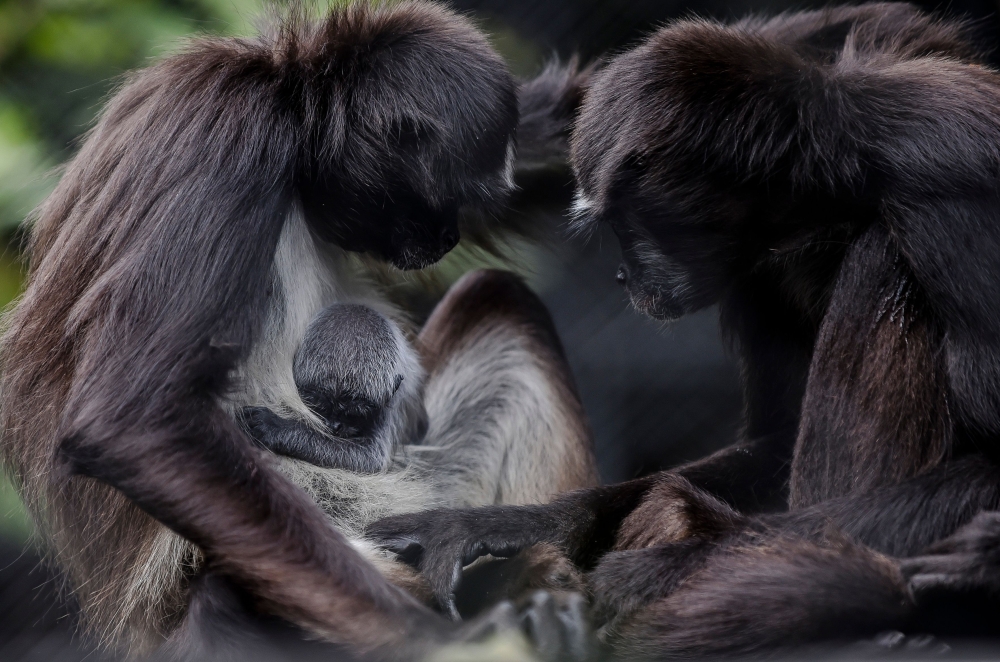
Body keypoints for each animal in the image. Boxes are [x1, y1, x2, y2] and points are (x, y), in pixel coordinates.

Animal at [241, 303, 428, 473]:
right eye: (321, 407)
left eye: (354, 414)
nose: (335, 426)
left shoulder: (390, 406)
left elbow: (370, 458)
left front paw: (278, 429)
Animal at [369, 3, 1000, 657]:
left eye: (625, 223)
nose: (622, 273)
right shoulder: (758, 266)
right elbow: (776, 439)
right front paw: (518, 524)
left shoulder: (949, 170)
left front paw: (665, 565)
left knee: (882, 256)